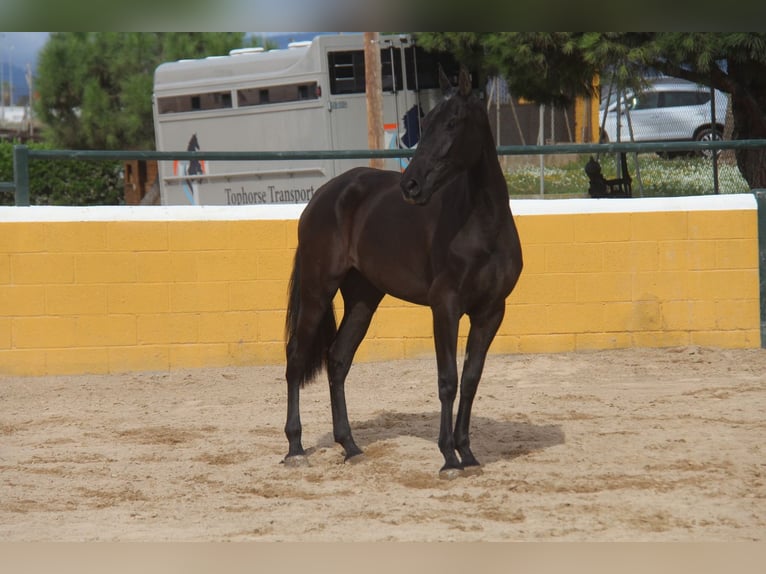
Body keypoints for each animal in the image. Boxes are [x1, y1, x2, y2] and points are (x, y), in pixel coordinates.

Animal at [284, 67, 524, 480]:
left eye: (453, 122)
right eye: (425, 124)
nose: (410, 185)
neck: (483, 227)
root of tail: (322, 198)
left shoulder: (491, 312)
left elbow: (471, 380)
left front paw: (468, 454)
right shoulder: (445, 307)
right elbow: (448, 380)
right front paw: (448, 458)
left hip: (363, 299)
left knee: (337, 360)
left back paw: (350, 446)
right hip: (317, 290)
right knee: (296, 358)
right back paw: (295, 447)